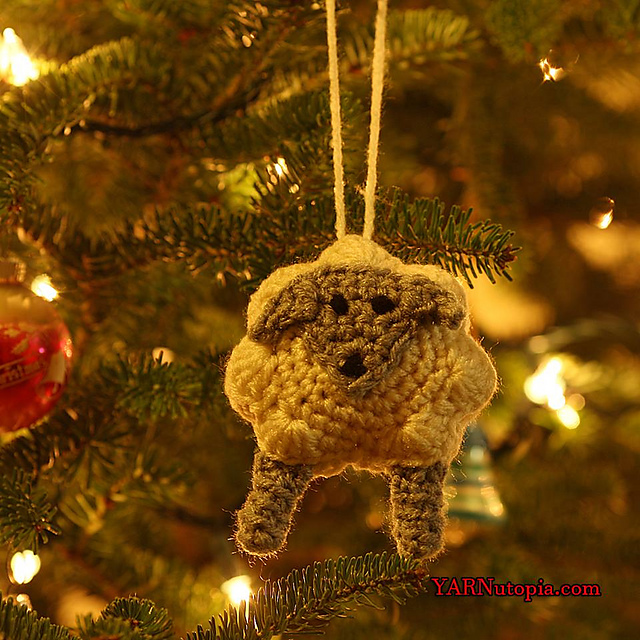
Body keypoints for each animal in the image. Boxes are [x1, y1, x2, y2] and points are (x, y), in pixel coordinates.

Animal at [224, 234, 497, 560]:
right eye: (334, 305)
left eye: (384, 305)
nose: (353, 366)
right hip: (288, 443)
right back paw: (258, 534)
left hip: (421, 444)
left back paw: (419, 540)